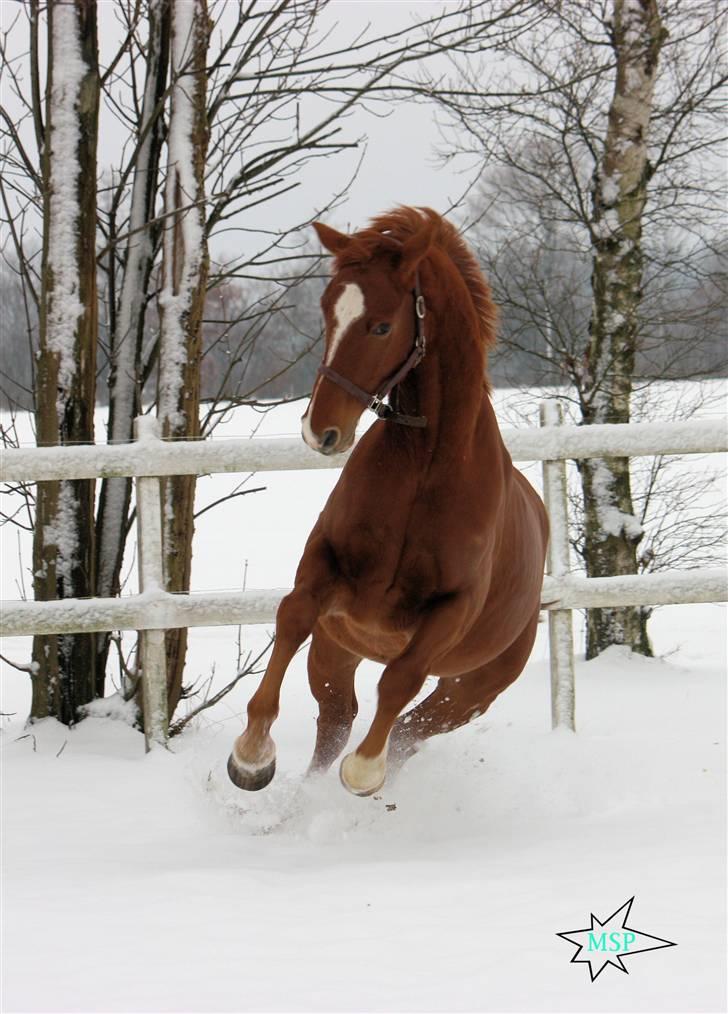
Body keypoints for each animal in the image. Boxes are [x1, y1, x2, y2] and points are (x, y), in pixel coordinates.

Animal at [228, 203, 547, 790]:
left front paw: (363, 772)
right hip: (335, 653)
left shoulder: (452, 609)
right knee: (337, 719)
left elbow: (401, 678)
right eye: (328, 314)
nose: (320, 431)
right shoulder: (328, 572)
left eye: (381, 325)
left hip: (469, 693)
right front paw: (251, 755)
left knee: (408, 730)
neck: (425, 469)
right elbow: (292, 616)